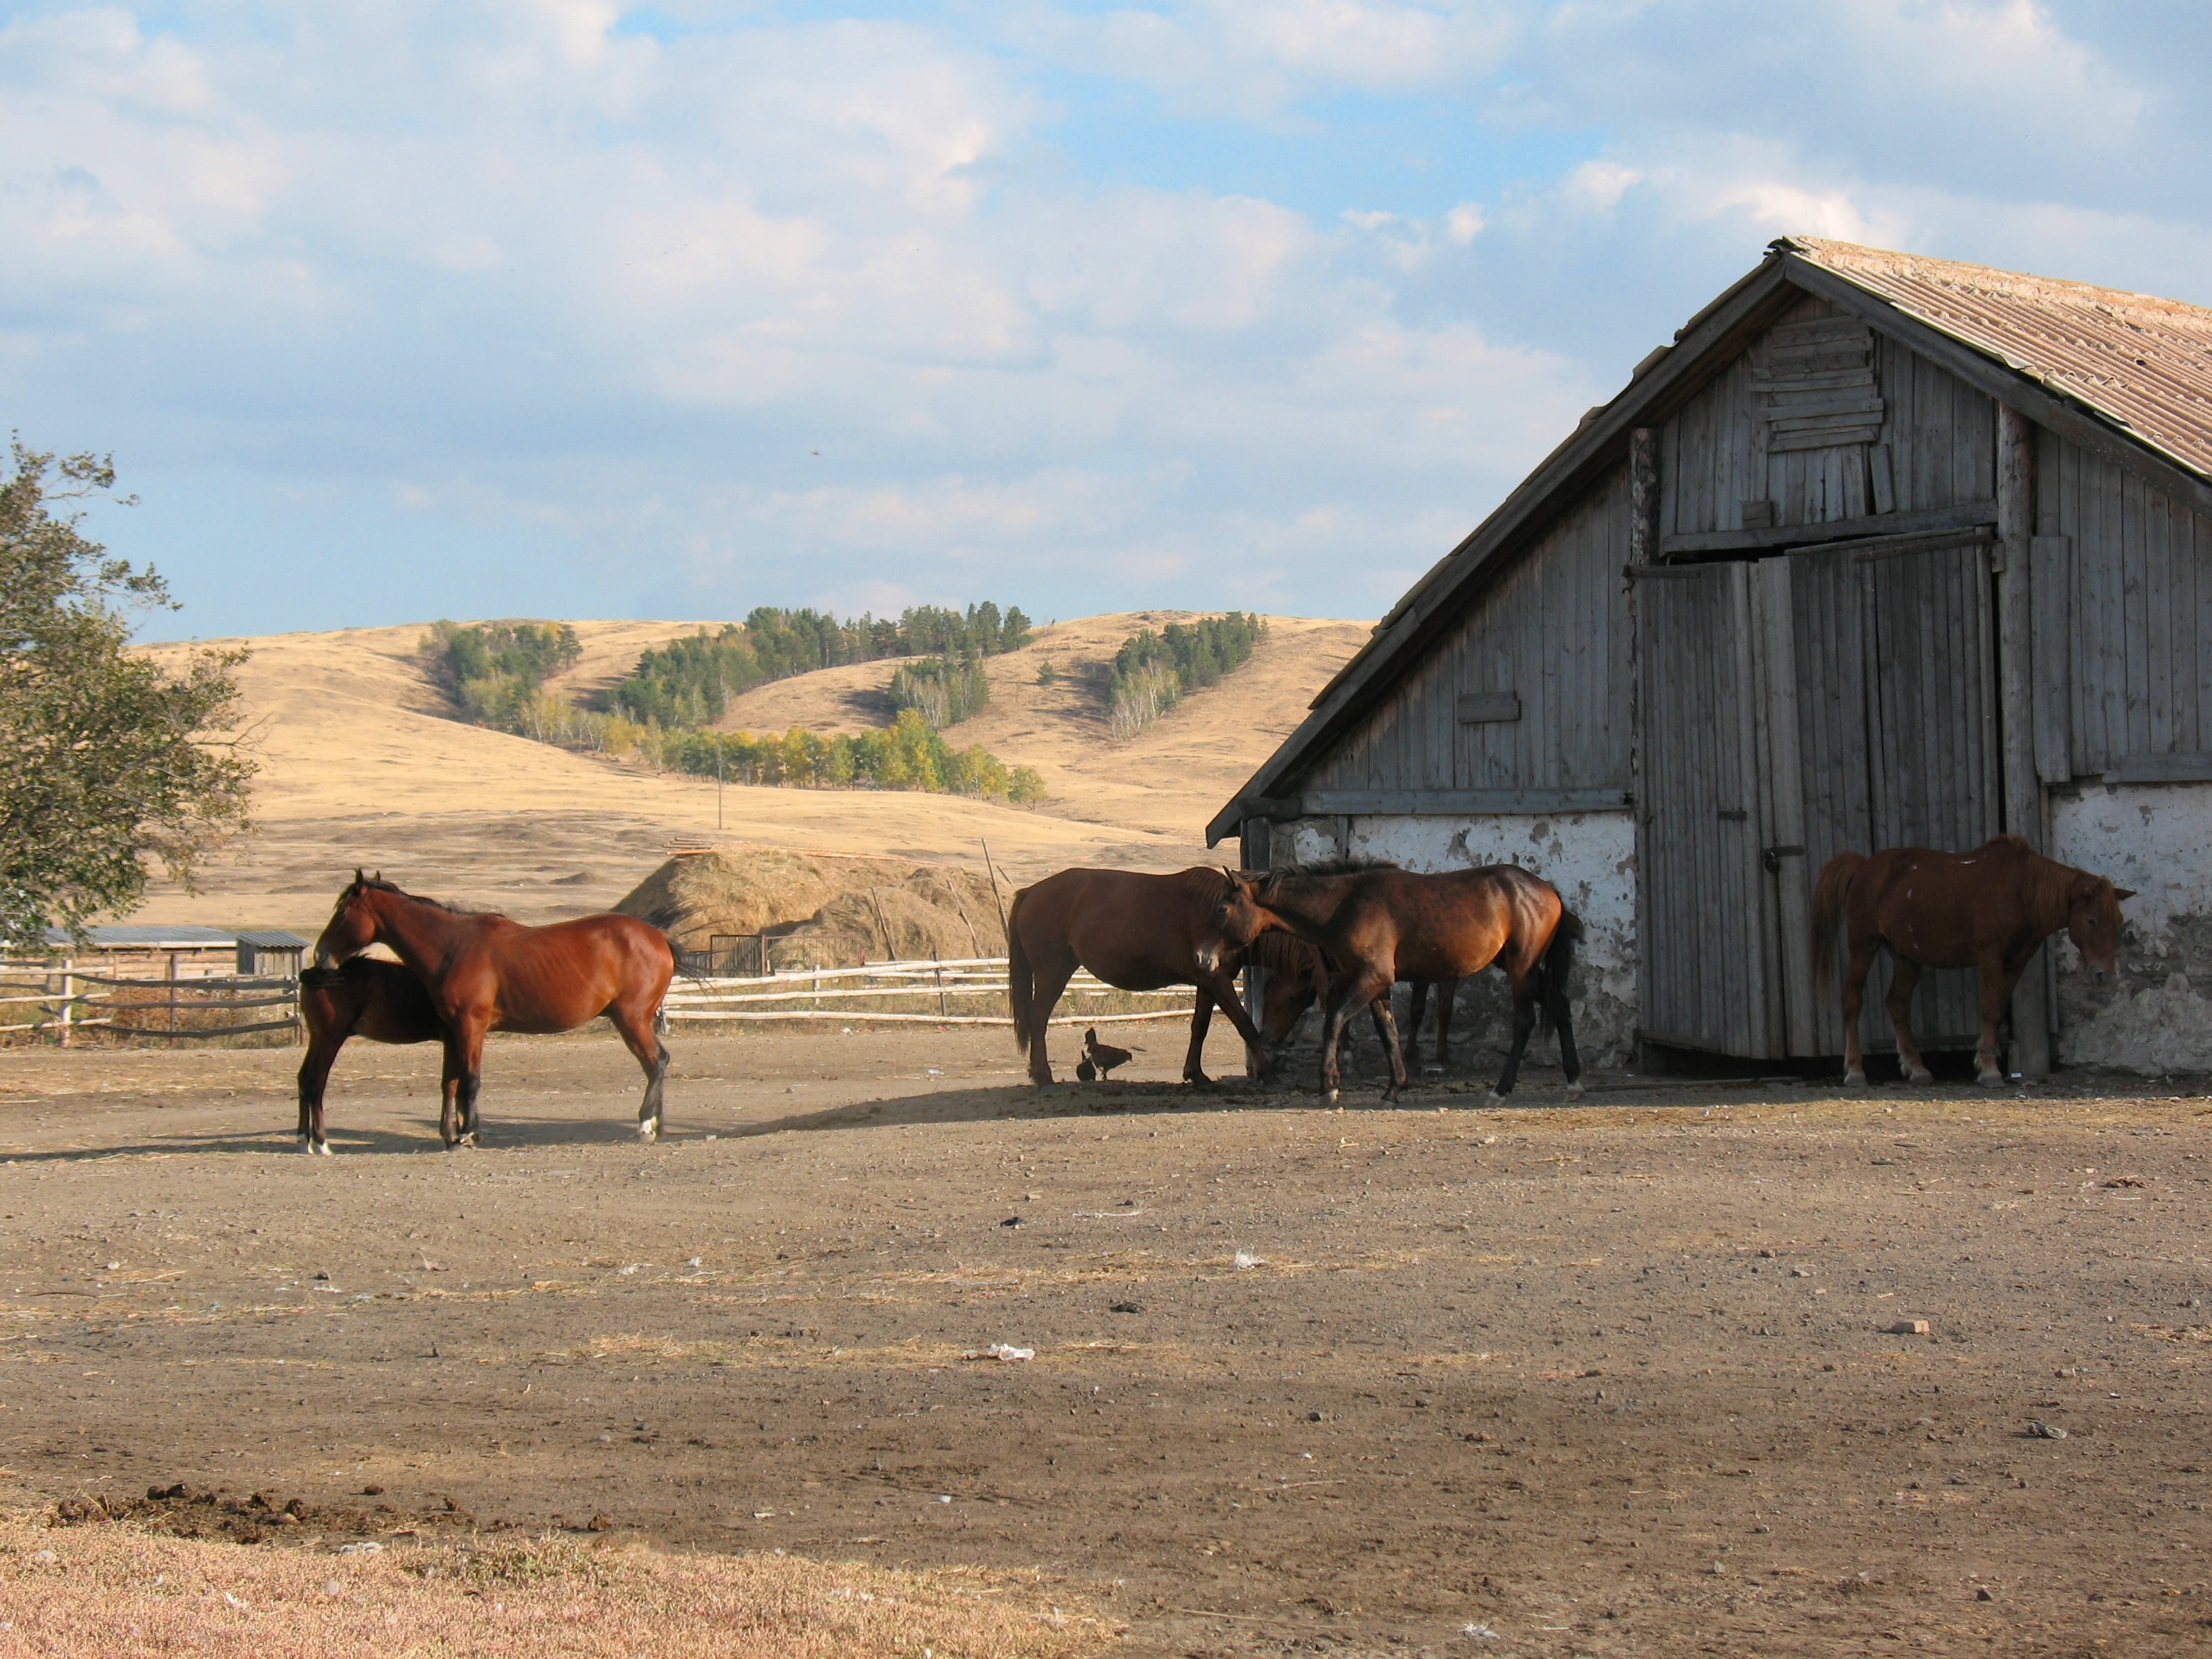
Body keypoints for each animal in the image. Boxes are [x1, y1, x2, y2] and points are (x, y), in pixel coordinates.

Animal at [295, 956, 447, 1155]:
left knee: (305, 1078)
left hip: (318, 1038)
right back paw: (321, 1142)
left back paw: (304, 1139)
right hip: (330, 1039)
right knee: (316, 1081)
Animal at [313, 871, 678, 1146]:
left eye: (342, 911)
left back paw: (646, 1125)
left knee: (655, 1062)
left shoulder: (471, 1026)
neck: (453, 946)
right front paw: (455, 1134)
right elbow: (453, 1081)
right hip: (629, 1019)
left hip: (632, 1019)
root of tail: (658, 937)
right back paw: (657, 1125)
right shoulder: (454, 1031)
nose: (321, 955)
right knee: (656, 1063)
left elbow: (470, 1080)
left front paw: (470, 1134)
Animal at [1007, 866, 1274, 1086]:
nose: (1202, 953)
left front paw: (1195, 1073)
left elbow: (1200, 1027)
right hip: (1052, 973)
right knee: (1038, 1018)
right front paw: (1265, 1071)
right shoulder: (1217, 980)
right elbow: (1244, 1023)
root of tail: (1031, 891)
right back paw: (1043, 1076)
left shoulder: (1208, 983)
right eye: (1221, 910)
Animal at [1229, 860, 1581, 1106]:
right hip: (1520, 968)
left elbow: (1335, 1020)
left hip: (1522, 968)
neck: (1346, 903)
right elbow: (1389, 1033)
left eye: (1225, 907)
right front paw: (1393, 1089)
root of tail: (1547, 891)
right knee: (1561, 1006)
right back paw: (1573, 1081)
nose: (1214, 956)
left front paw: (1329, 1086)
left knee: (1525, 1020)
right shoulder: (1376, 985)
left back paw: (1501, 1090)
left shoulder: (1372, 978)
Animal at [1811, 834, 2133, 1088]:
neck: (2021, 889)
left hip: (1906, 956)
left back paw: (1917, 1068)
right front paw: (1989, 1070)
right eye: (2091, 921)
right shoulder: (1990, 955)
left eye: (2117, 921)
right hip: (1863, 947)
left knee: (1898, 1004)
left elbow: (1999, 1008)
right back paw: (1855, 1071)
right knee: (1852, 1001)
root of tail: (1863, 867)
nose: (2104, 974)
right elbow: (1990, 1009)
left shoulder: (2017, 961)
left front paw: (1984, 1060)